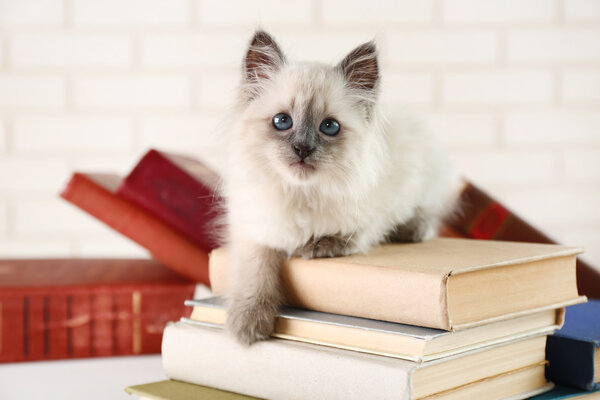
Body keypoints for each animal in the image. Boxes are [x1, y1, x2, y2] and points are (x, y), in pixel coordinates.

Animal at [220, 30, 450, 344]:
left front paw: (314, 246)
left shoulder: (375, 212)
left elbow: (348, 234)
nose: (302, 149)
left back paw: (412, 231)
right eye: (282, 121)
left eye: (329, 127)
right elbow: (256, 269)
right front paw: (248, 322)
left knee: (428, 215)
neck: (301, 192)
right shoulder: (254, 227)